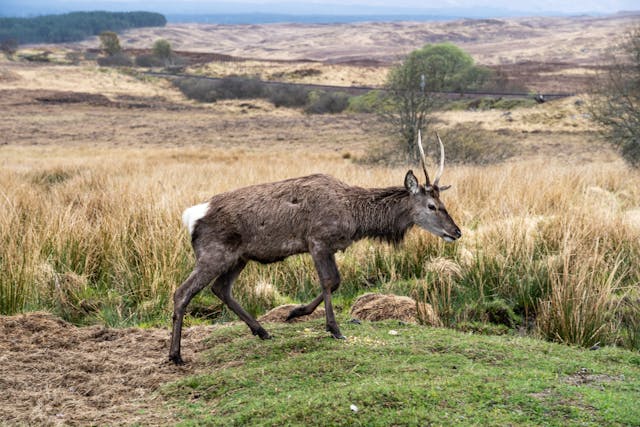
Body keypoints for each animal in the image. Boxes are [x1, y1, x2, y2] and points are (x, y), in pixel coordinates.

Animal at [169, 131, 461, 364]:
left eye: (443, 202)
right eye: (431, 206)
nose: (456, 232)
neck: (355, 218)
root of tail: (191, 216)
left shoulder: (331, 246)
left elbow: (337, 282)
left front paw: (295, 312)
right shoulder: (318, 240)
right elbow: (330, 281)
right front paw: (334, 329)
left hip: (239, 257)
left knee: (221, 288)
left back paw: (262, 331)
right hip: (213, 253)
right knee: (182, 292)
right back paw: (176, 355)